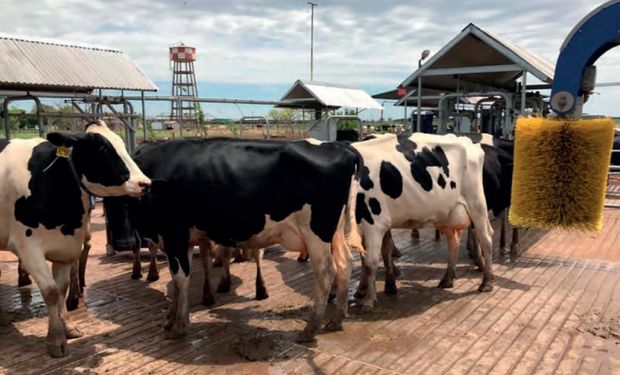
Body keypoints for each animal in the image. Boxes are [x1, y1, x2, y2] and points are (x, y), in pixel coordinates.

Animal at [0, 122, 150, 358]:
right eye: (103, 149)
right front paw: (55, 340)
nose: (145, 183)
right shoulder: (27, 247)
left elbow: (62, 288)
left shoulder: (65, 248)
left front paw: (68, 327)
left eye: (122, 145)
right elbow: (51, 291)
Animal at [103, 139, 360, 344]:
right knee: (345, 263)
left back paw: (310, 328)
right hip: (334, 233)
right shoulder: (181, 241)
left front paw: (178, 326)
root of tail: (336, 146)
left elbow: (181, 279)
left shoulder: (174, 234)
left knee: (326, 273)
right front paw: (171, 318)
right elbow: (178, 281)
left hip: (316, 234)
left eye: (126, 198)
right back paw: (337, 319)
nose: (123, 243)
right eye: (107, 202)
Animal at [348, 134, 494, 310]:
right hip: (447, 214)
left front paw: (369, 300)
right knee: (454, 242)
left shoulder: (375, 224)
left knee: (486, 238)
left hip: (477, 205)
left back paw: (486, 282)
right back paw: (447, 279)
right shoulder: (361, 226)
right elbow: (364, 260)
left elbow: (370, 262)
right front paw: (361, 290)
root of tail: (467, 141)